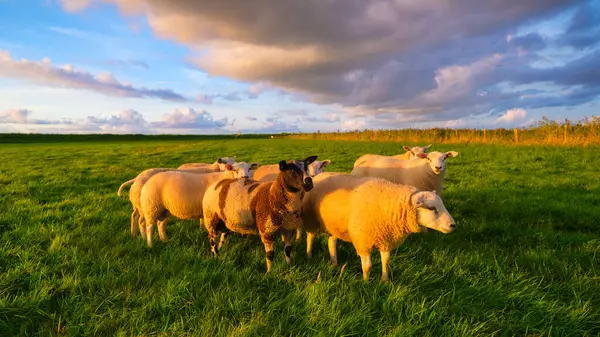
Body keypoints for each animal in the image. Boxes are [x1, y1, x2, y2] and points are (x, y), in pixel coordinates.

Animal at [302, 172, 458, 280]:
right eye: (431, 208)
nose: (453, 225)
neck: (389, 205)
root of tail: (319, 175)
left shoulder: (385, 239)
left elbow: (386, 261)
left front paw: (385, 280)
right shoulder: (363, 241)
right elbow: (367, 266)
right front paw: (366, 282)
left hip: (335, 225)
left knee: (331, 241)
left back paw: (334, 262)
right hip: (311, 219)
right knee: (310, 237)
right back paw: (309, 255)